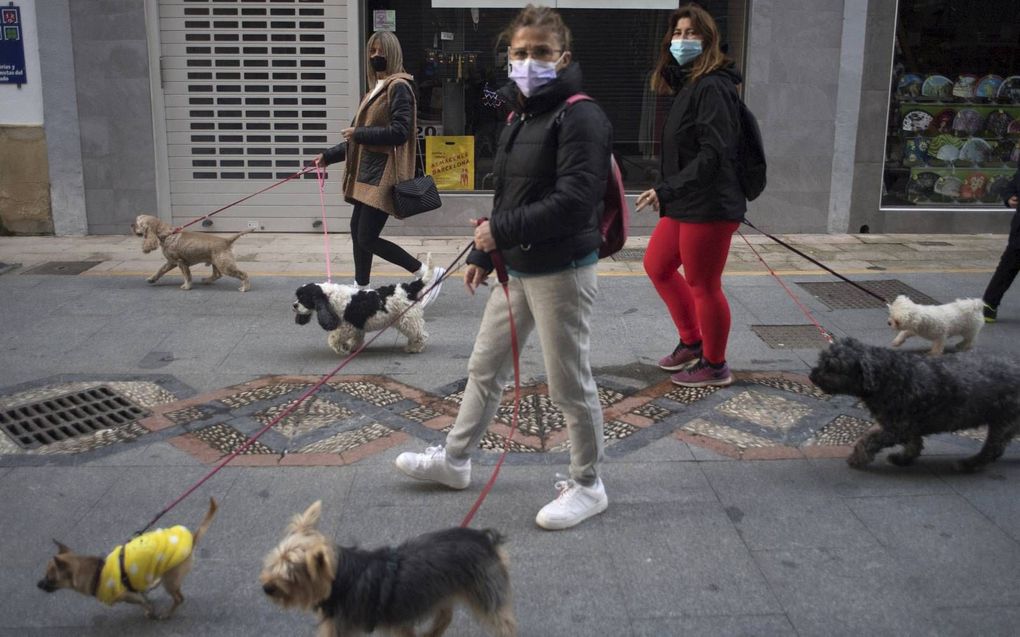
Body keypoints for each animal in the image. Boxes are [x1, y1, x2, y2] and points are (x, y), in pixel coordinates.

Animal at [37, 497, 217, 615]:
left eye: (50, 578)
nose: (38, 584)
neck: (97, 572)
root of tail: (192, 539)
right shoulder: (136, 587)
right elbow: (144, 597)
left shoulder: (128, 596)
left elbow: (144, 604)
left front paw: (150, 612)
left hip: (170, 582)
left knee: (179, 598)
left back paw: (167, 613)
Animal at [293, 258, 440, 358]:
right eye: (297, 297)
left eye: (303, 299)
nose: (294, 305)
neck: (329, 296)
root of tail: (408, 288)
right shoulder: (357, 326)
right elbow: (356, 338)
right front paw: (350, 347)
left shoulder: (347, 326)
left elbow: (333, 338)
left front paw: (341, 348)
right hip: (405, 319)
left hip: (408, 319)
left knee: (421, 335)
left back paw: (414, 348)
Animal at [811, 336, 1020, 468]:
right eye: (822, 360)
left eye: (833, 367)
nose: (813, 376)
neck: (887, 377)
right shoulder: (908, 425)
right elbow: (914, 443)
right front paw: (904, 458)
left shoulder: (897, 427)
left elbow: (869, 440)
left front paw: (858, 457)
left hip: (1003, 420)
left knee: (993, 448)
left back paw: (969, 464)